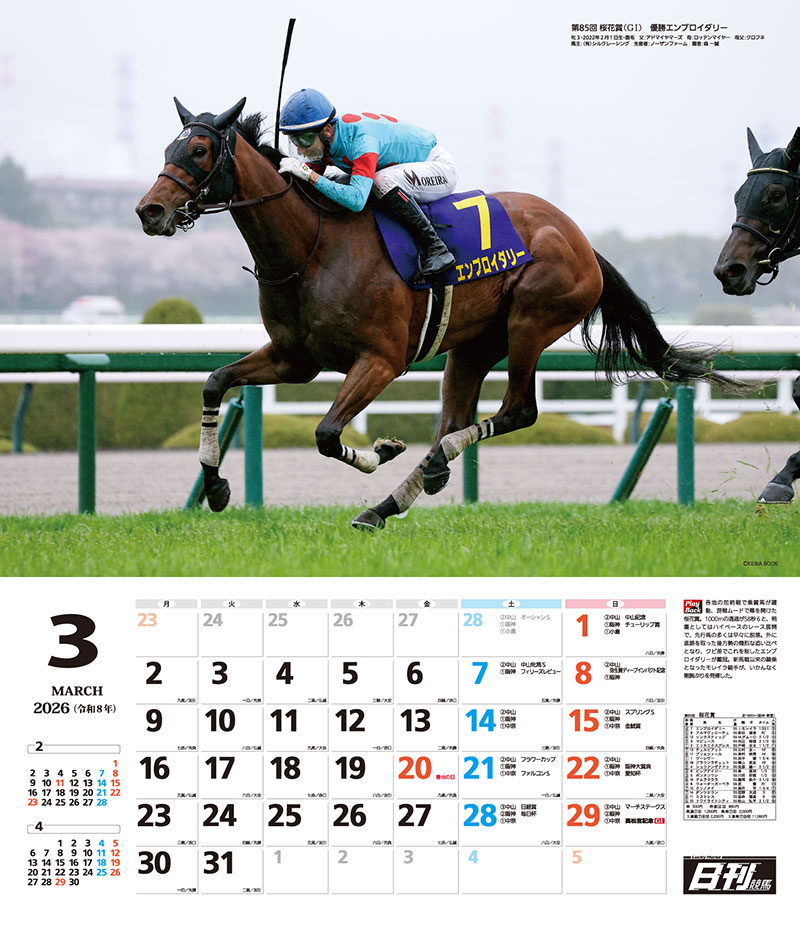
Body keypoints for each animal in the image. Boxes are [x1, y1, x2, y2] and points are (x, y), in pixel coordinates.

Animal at [137, 97, 741, 530]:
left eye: (198, 151)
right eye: (168, 146)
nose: (150, 210)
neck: (314, 246)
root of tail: (581, 240)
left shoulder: (380, 360)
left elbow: (328, 433)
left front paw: (381, 448)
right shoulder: (295, 359)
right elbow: (215, 382)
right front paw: (216, 489)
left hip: (531, 322)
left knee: (516, 412)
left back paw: (426, 471)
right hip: (474, 344)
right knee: (453, 419)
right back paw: (391, 501)